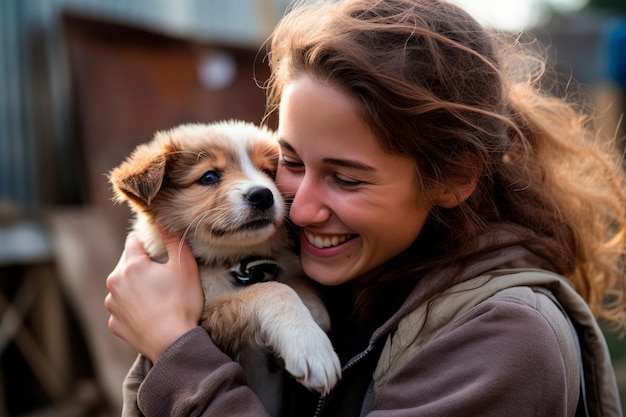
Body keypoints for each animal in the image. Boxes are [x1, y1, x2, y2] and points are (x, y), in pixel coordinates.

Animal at [109, 120, 338, 416]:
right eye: (208, 177)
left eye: (268, 171)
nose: (262, 195)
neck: (235, 262)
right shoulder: (207, 317)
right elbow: (272, 290)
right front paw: (312, 348)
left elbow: (290, 280)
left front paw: (316, 311)